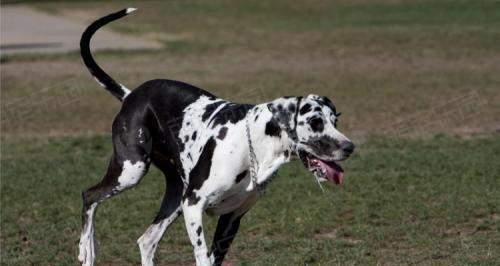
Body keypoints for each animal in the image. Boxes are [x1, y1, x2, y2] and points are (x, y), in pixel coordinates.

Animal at [77, 8, 356, 266]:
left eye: (335, 121)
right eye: (315, 122)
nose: (349, 147)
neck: (254, 145)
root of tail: (131, 95)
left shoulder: (231, 219)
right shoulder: (193, 206)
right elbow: (202, 256)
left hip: (174, 197)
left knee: (147, 240)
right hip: (131, 172)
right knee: (89, 196)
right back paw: (86, 249)